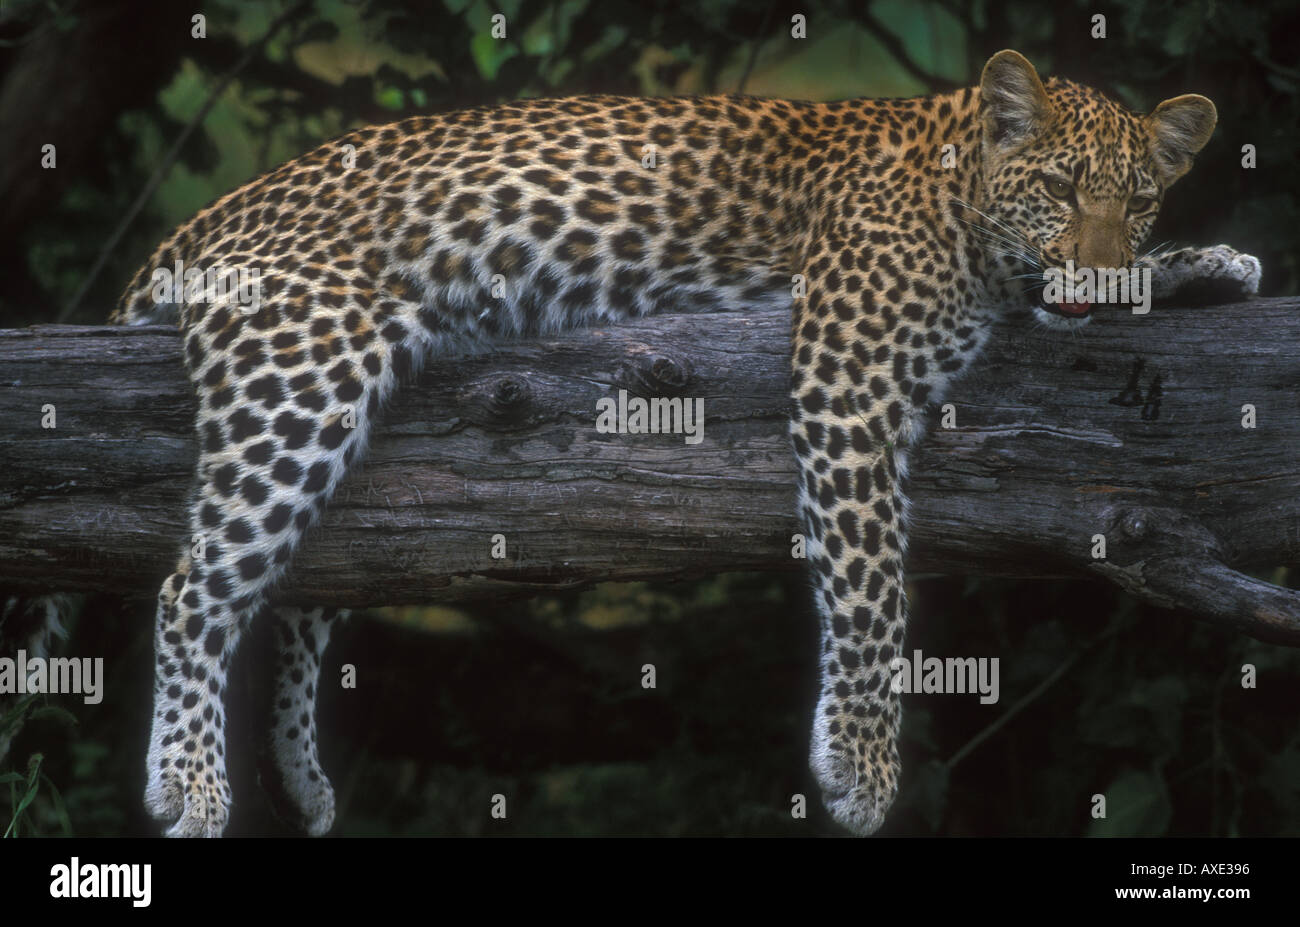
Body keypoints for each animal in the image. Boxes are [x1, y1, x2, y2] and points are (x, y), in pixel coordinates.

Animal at [21, 49, 1262, 837]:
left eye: (1137, 202)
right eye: (1055, 186)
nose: (1098, 273)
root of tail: (214, 215)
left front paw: (1202, 264)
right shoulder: (849, 371)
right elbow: (871, 583)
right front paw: (861, 770)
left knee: (298, 593)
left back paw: (299, 778)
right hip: (305, 370)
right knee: (194, 585)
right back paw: (192, 784)